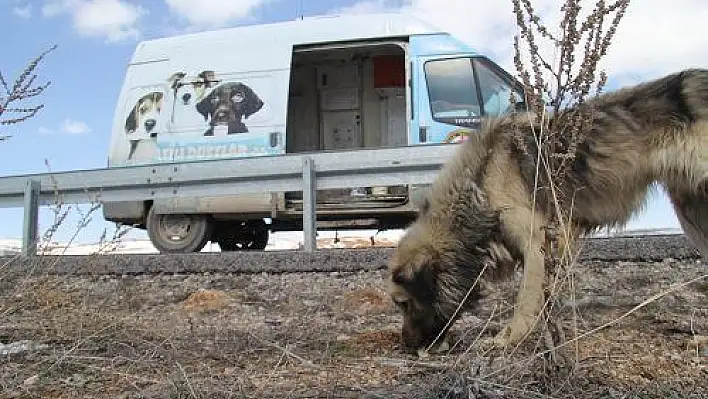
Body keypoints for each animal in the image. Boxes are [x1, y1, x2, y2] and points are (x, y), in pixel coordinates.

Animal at [388, 68, 708, 354]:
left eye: (403, 303)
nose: (406, 346)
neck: (480, 177)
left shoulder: (537, 243)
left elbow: (525, 302)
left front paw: (507, 340)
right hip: (691, 211)